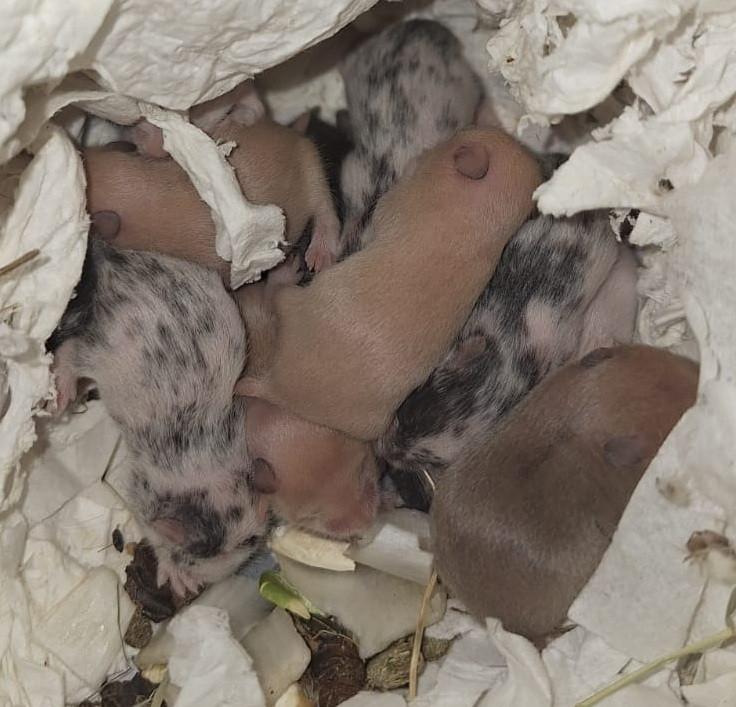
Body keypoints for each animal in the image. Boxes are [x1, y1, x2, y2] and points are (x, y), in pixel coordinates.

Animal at [49, 240, 269, 597]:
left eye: (249, 542)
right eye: (189, 555)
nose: (201, 584)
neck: (206, 470)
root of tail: (113, 267)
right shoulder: (144, 493)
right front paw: (175, 578)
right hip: (100, 348)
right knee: (71, 350)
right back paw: (62, 396)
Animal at [235, 128, 542, 441]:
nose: (427, 151)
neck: (484, 218)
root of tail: (277, 388)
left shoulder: (392, 204)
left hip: (295, 303)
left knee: (276, 296)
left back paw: (283, 274)